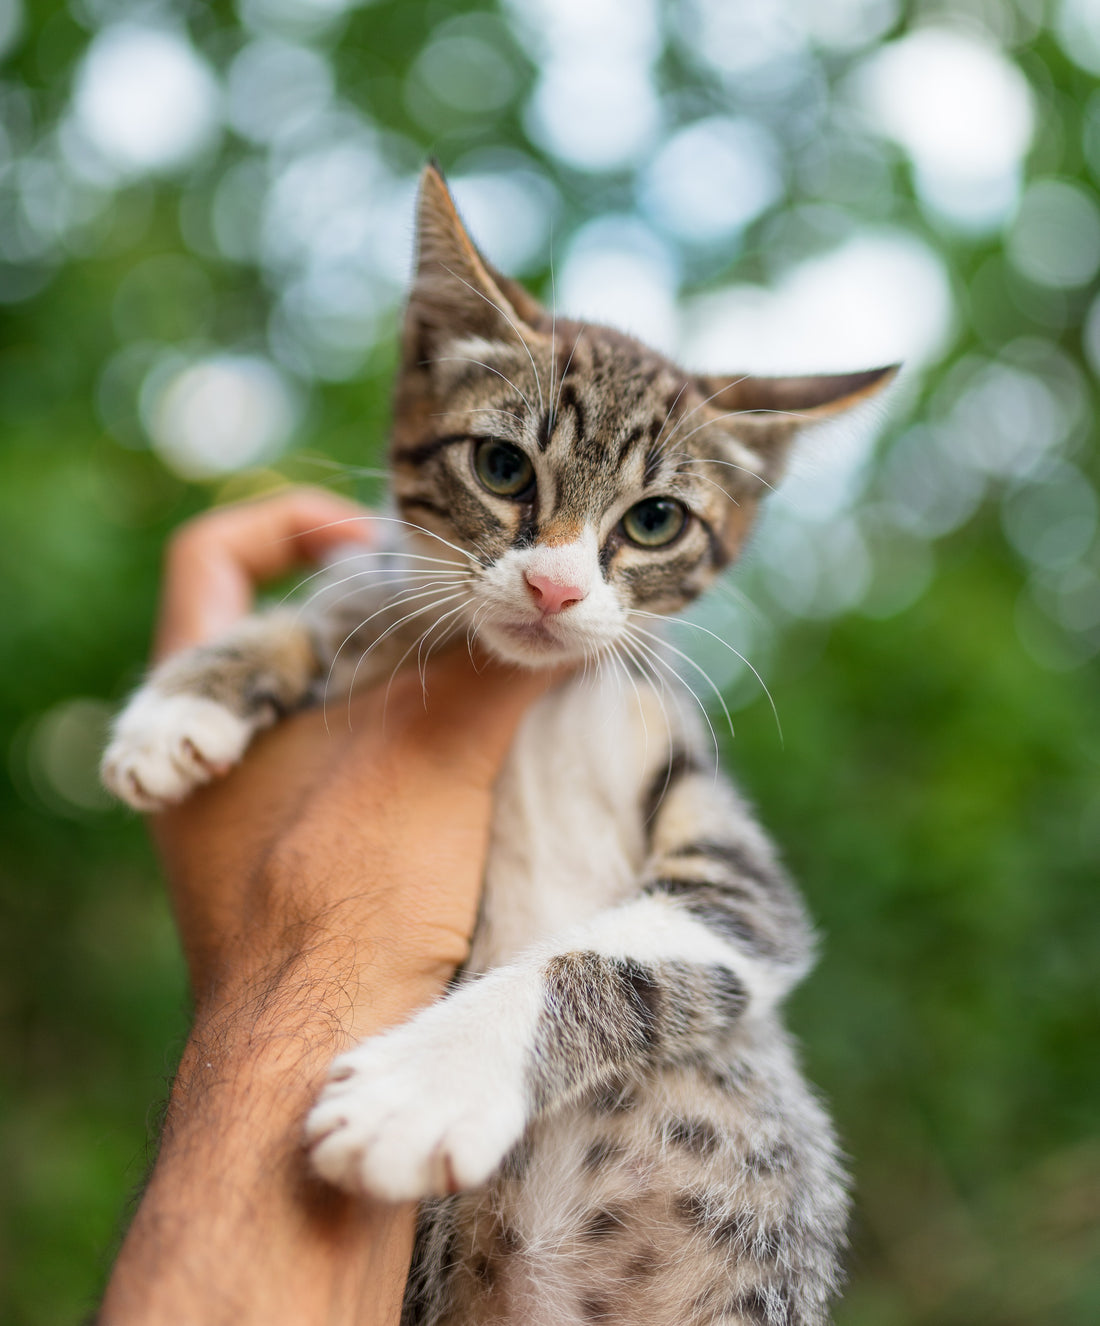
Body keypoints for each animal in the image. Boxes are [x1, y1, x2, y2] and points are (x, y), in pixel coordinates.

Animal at [103, 168, 895, 1326]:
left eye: (655, 520)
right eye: (499, 466)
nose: (555, 587)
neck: (538, 702)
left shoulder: (742, 885)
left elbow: (614, 959)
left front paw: (421, 1089)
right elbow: (331, 614)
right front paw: (180, 705)